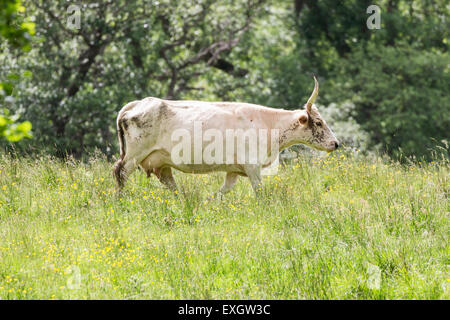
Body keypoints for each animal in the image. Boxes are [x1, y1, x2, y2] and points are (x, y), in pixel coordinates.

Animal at [112, 77, 338, 195]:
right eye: (319, 122)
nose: (336, 143)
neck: (268, 123)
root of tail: (141, 102)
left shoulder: (234, 170)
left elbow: (222, 192)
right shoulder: (253, 166)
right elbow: (260, 192)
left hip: (161, 162)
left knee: (171, 184)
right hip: (134, 155)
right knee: (120, 173)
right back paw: (121, 200)